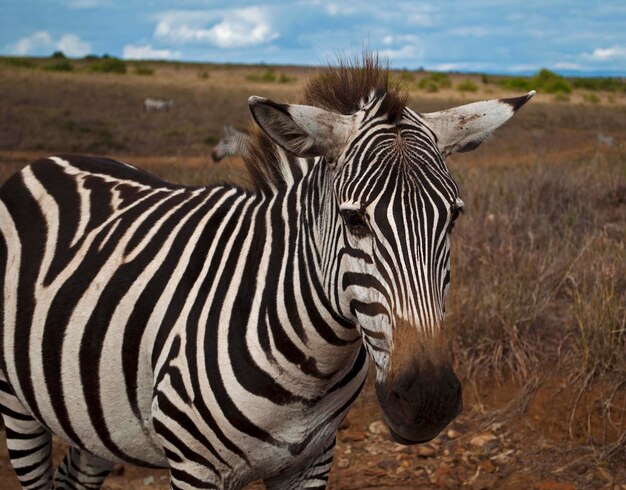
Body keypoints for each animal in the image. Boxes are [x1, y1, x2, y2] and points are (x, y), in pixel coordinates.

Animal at [0, 55, 532, 488]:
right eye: (354, 220)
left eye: (453, 218)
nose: (427, 400)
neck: (311, 363)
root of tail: (47, 161)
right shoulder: (193, 466)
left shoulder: (312, 461)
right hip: (17, 402)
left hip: (92, 418)